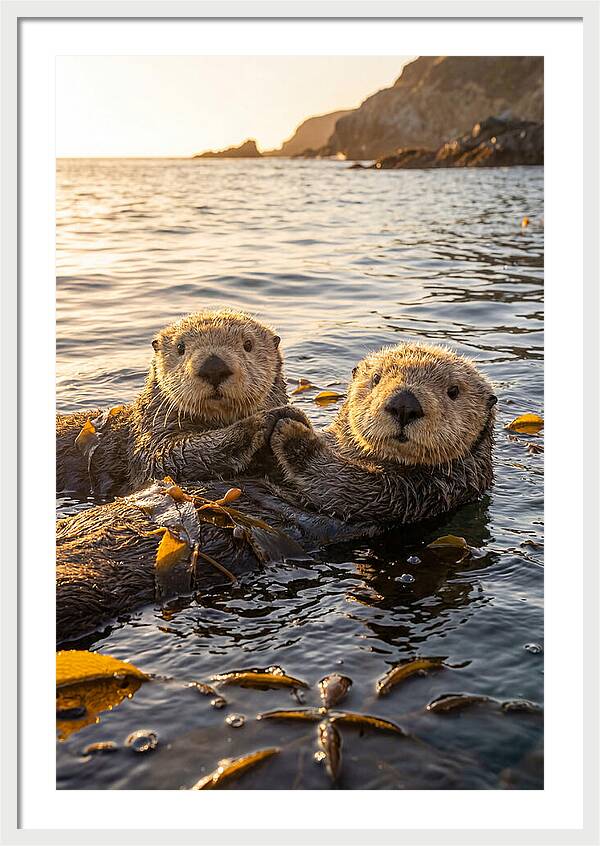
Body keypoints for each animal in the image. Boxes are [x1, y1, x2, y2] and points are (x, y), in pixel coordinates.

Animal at [56, 343, 496, 642]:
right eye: (375, 381)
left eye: (453, 391)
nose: (404, 403)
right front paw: (275, 419)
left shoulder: (419, 494)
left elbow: (343, 483)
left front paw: (291, 429)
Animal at [57, 309, 307, 498]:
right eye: (180, 348)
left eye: (247, 344)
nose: (213, 367)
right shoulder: (150, 440)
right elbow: (168, 457)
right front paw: (267, 419)